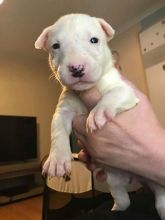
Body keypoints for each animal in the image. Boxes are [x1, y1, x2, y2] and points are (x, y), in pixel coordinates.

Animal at [34, 14, 165, 220]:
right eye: (56, 46)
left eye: (94, 40)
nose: (77, 68)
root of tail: (134, 176)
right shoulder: (64, 108)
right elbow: (58, 130)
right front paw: (57, 159)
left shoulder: (127, 91)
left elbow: (114, 93)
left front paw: (99, 112)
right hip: (114, 179)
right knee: (123, 198)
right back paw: (117, 208)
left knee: (160, 195)